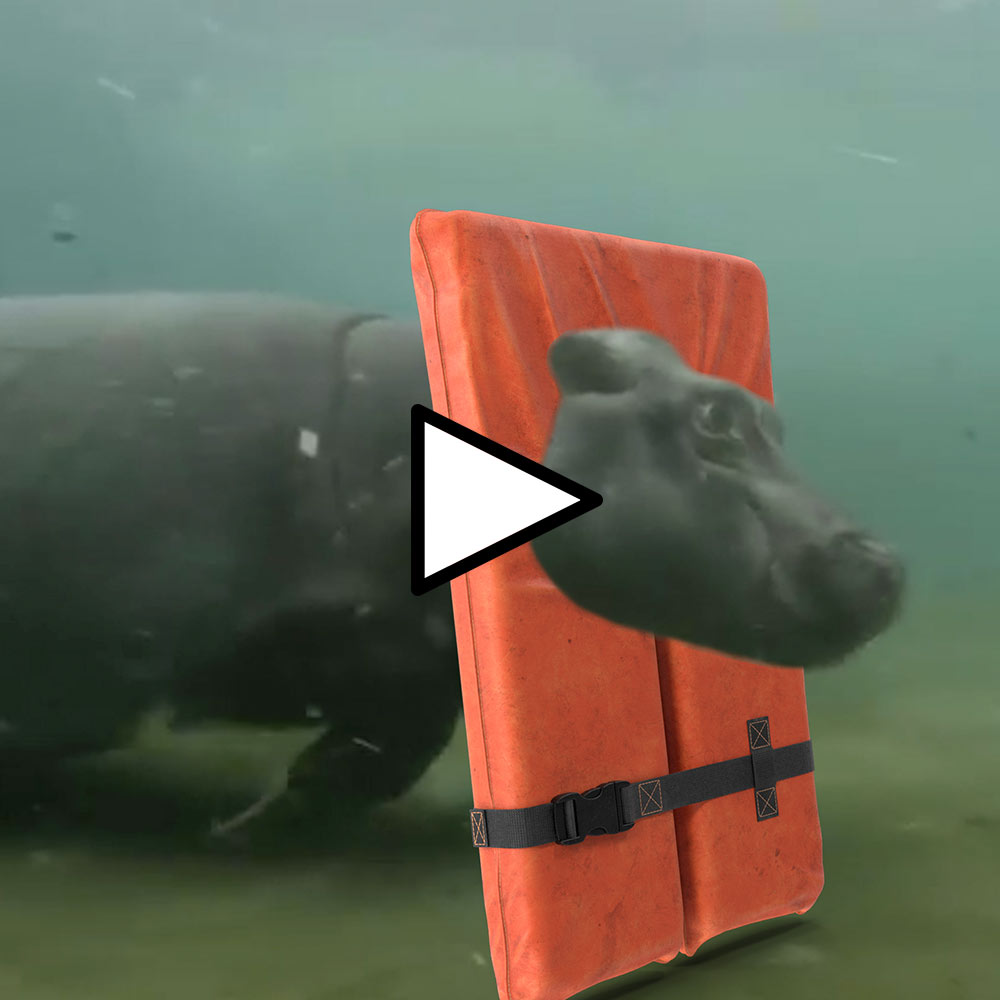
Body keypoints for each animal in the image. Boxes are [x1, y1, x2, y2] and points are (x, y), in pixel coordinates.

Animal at [0, 296, 903, 835]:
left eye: (771, 418)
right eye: (715, 417)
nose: (885, 560)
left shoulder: (410, 661)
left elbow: (370, 761)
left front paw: (256, 819)